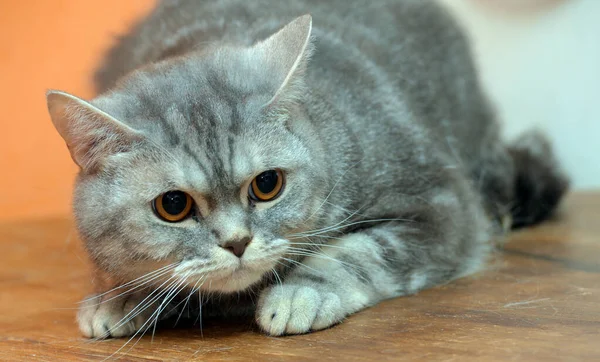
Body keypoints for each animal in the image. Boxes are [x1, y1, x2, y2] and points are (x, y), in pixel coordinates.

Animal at [45, 0, 568, 340]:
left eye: (267, 184)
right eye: (173, 205)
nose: (237, 243)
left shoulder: (439, 205)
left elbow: (356, 253)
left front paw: (299, 295)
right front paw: (118, 296)